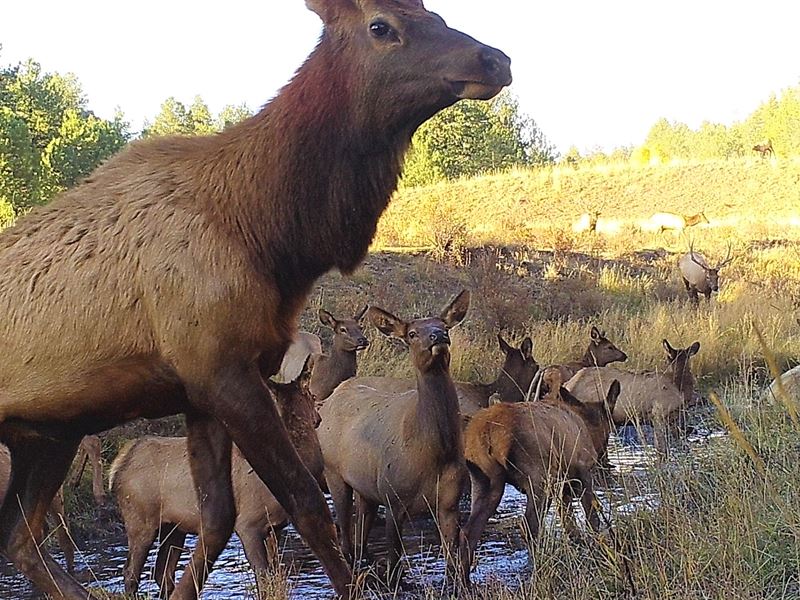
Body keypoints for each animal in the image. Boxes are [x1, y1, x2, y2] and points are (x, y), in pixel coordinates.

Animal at [110, 366, 322, 600]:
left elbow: (276, 574)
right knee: (131, 571)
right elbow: (263, 577)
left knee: (163, 571)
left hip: (174, 527)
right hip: (140, 520)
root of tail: (117, 466)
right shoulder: (248, 524)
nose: (318, 418)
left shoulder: (275, 528)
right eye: (313, 397)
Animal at [318, 290, 472, 580]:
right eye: (412, 333)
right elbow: (394, 565)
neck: (432, 451)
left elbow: (453, 566)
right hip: (333, 471)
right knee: (344, 534)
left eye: (445, 326)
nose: (438, 336)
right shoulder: (393, 498)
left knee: (361, 534)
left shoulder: (450, 502)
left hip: (366, 486)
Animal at [462, 370, 620, 564]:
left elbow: (570, 524)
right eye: (609, 428)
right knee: (529, 526)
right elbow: (592, 519)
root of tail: (489, 434)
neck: (588, 426)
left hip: (484, 479)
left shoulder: (562, 486)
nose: (605, 459)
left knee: (468, 532)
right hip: (538, 477)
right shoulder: (582, 471)